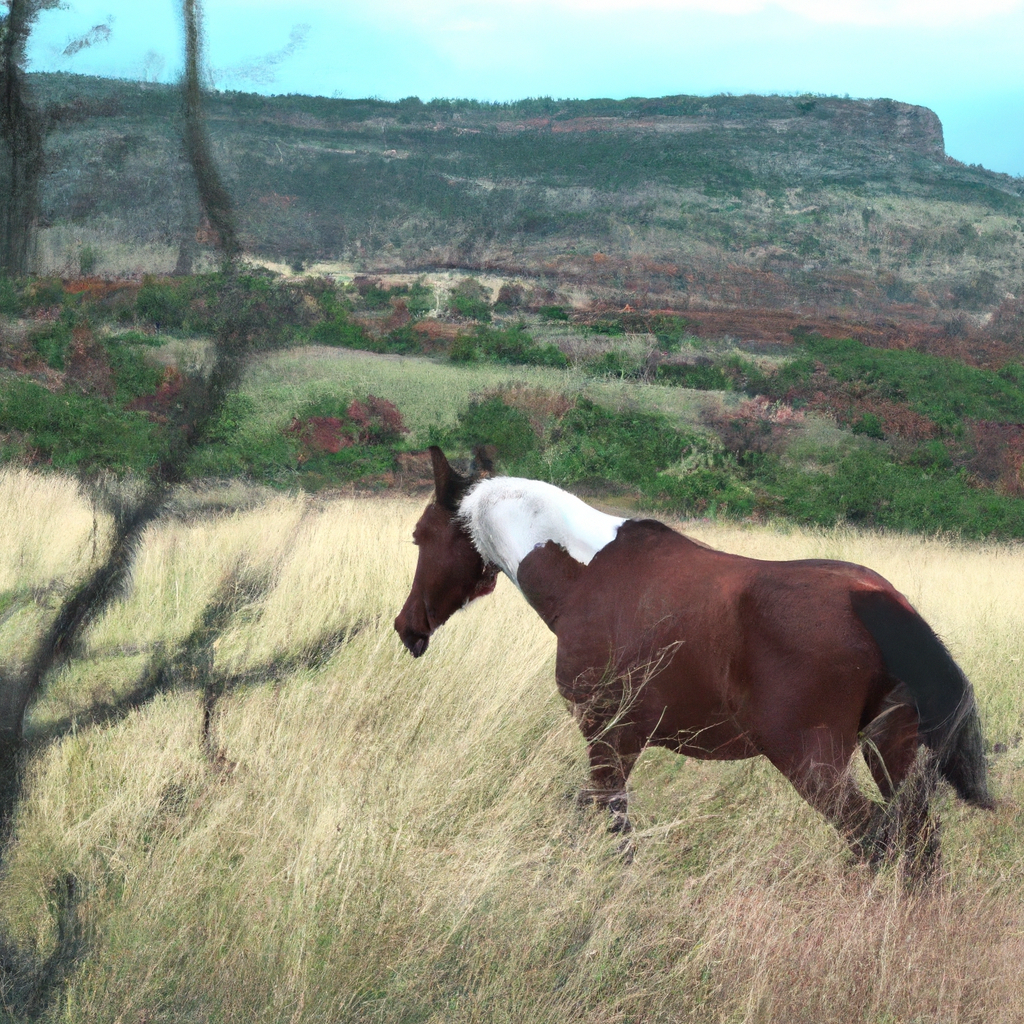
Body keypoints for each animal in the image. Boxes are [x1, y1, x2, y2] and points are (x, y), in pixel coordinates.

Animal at [393, 446, 991, 864]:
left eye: (420, 536)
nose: (407, 627)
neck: (587, 576)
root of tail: (874, 598)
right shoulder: (622, 741)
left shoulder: (606, 736)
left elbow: (613, 831)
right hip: (890, 752)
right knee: (917, 844)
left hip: (812, 763)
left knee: (871, 839)